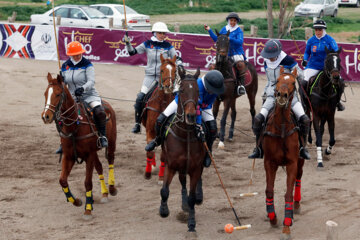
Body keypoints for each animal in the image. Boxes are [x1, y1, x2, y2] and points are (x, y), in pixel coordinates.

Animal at [41, 73, 116, 219]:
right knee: (99, 167)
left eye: (58, 94)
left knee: (110, 160)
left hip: (111, 142)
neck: (75, 125)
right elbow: (62, 180)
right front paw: (77, 201)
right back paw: (104, 194)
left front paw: (88, 209)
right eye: (45, 93)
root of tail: (106, 103)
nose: (46, 116)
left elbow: (87, 183)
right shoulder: (69, 156)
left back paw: (111, 188)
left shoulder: (89, 155)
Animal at [143, 54, 178, 182]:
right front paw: (147, 173)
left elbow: (163, 156)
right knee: (150, 148)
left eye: (175, 71)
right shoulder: (150, 130)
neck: (162, 102)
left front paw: (162, 176)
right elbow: (149, 151)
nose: (168, 86)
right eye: (162, 70)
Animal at [158, 66, 205, 232]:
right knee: (182, 181)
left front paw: (191, 222)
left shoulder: (195, 168)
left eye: (197, 91)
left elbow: (192, 197)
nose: (191, 116)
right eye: (182, 90)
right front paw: (163, 210)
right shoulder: (171, 165)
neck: (185, 135)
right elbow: (164, 190)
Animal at [262, 66, 306, 239]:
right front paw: (272, 218)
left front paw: (287, 226)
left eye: (293, 82)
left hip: (300, 160)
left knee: (298, 179)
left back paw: (297, 205)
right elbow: (269, 191)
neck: (281, 128)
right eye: (278, 80)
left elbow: (288, 193)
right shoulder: (269, 162)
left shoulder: (292, 163)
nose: (281, 95)